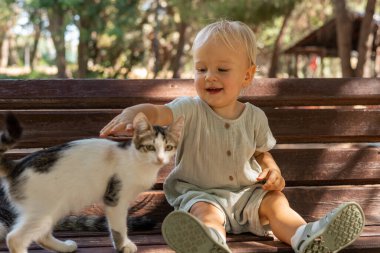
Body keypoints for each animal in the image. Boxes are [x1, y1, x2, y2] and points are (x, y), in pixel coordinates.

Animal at [0, 112, 184, 253]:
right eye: (150, 147)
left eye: (168, 147)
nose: (160, 159)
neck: (137, 160)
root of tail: (17, 165)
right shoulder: (115, 198)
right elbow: (119, 226)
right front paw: (123, 246)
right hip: (43, 209)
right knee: (15, 238)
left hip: (55, 207)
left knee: (41, 235)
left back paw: (65, 247)